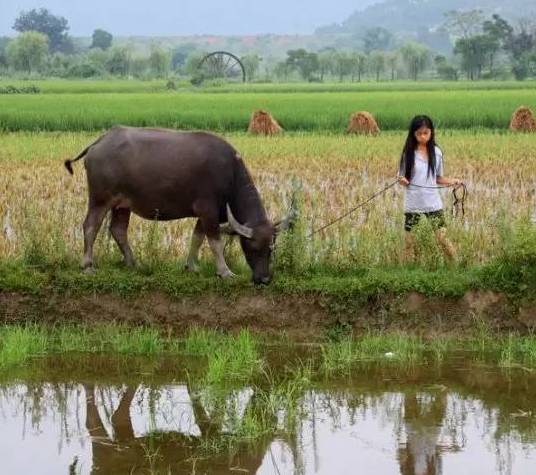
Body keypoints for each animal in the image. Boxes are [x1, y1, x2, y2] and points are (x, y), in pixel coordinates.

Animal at [66, 124, 294, 284]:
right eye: (252, 247)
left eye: (271, 248)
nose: (264, 279)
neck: (230, 175)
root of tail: (99, 141)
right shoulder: (208, 210)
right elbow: (215, 242)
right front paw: (224, 271)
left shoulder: (205, 215)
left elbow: (197, 238)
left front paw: (191, 266)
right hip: (100, 199)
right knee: (91, 226)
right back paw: (87, 265)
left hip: (122, 205)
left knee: (118, 229)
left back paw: (133, 263)